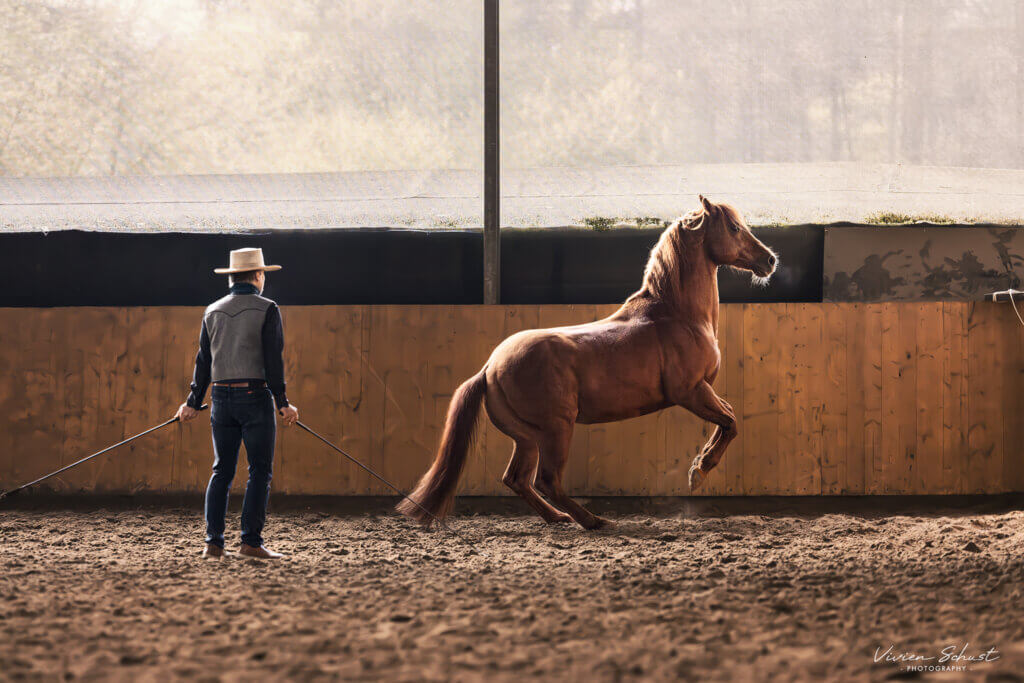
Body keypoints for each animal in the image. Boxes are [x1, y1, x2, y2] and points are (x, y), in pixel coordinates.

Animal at [399, 196, 774, 528]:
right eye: (734, 227)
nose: (769, 260)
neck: (677, 316)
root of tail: (490, 368)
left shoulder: (703, 391)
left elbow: (727, 418)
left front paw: (698, 465)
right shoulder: (691, 392)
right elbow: (731, 422)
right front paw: (700, 471)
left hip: (527, 438)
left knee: (517, 479)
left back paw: (559, 518)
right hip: (557, 429)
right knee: (547, 481)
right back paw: (593, 521)